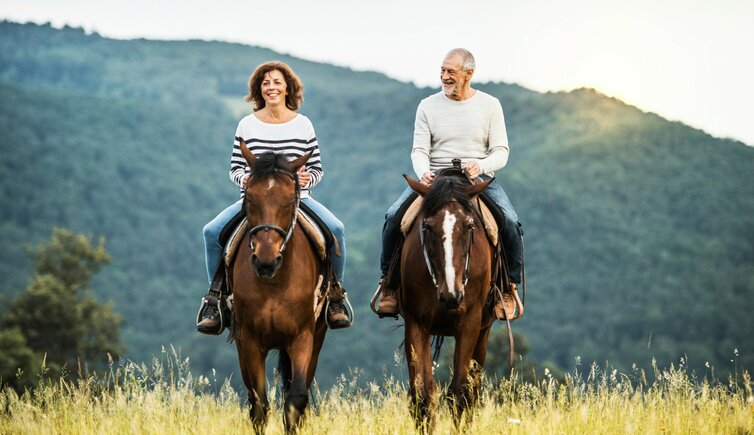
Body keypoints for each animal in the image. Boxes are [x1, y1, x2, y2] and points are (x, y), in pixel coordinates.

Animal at [231, 141, 328, 434]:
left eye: (288, 202)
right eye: (250, 199)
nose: (266, 261)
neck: (274, 281)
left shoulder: (303, 337)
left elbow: (296, 399)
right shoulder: (250, 340)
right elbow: (259, 405)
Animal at [396, 172, 496, 430]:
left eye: (470, 226)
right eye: (427, 227)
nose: (451, 295)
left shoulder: (470, 322)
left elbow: (460, 393)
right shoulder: (416, 323)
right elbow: (423, 394)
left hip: (484, 331)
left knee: (473, 390)